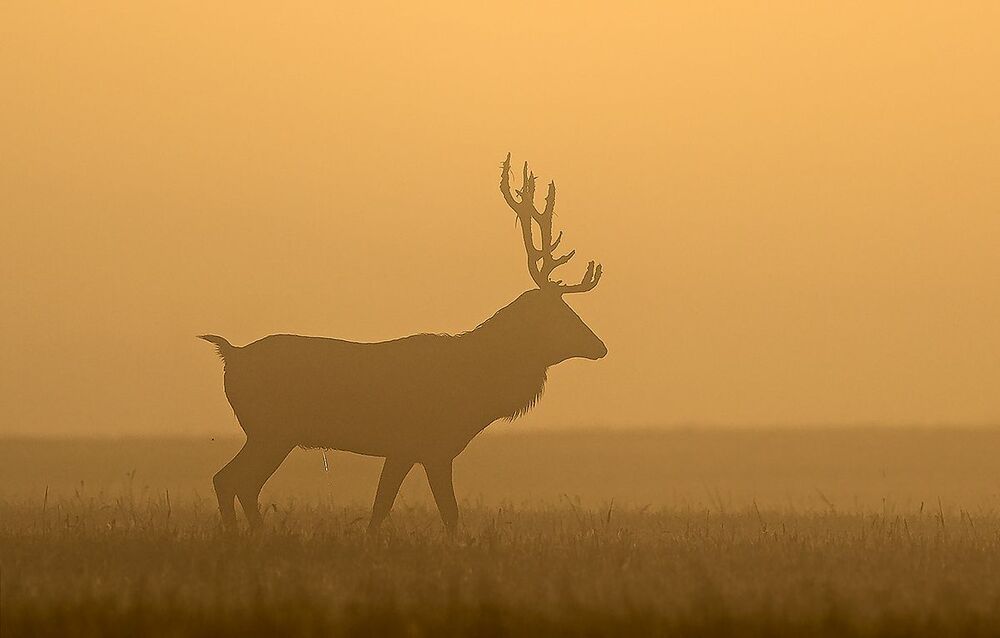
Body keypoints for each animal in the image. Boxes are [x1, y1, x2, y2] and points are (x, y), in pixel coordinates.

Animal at [199, 154, 606, 534]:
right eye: (560, 313)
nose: (600, 346)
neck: (475, 392)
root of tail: (230, 355)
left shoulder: (402, 450)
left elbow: (380, 509)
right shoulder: (432, 446)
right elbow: (448, 513)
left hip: (268, 432)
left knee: (234, 480)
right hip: (271, 428)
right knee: (232, 479)